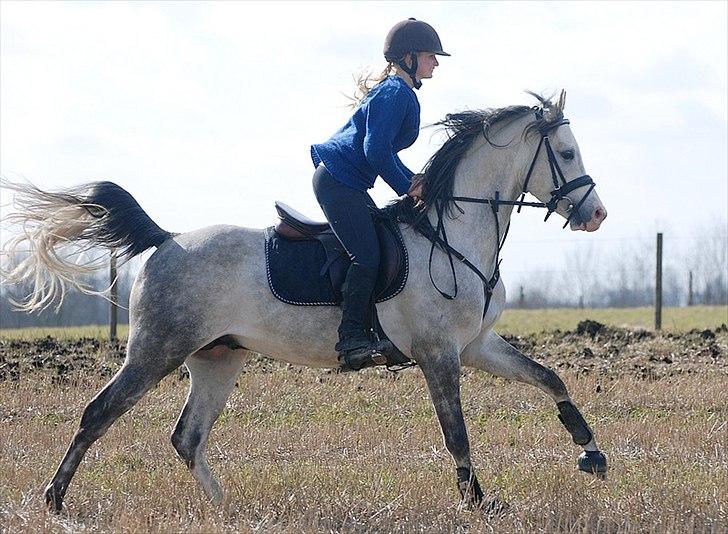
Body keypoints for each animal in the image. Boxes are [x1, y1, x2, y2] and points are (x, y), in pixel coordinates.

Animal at [2, 93, 608, 516]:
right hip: (157, 351)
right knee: (98, 413)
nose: (597, 214)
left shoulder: (476, 345)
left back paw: (230, 510)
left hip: (217, 358)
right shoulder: (439, 354)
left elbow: (549, 377)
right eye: (568, 152)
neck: (452, 232)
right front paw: (478, 502)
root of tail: (167, 239)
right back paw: (54, 501)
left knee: (187, 437)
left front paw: (591, 452)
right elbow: (455, 431)